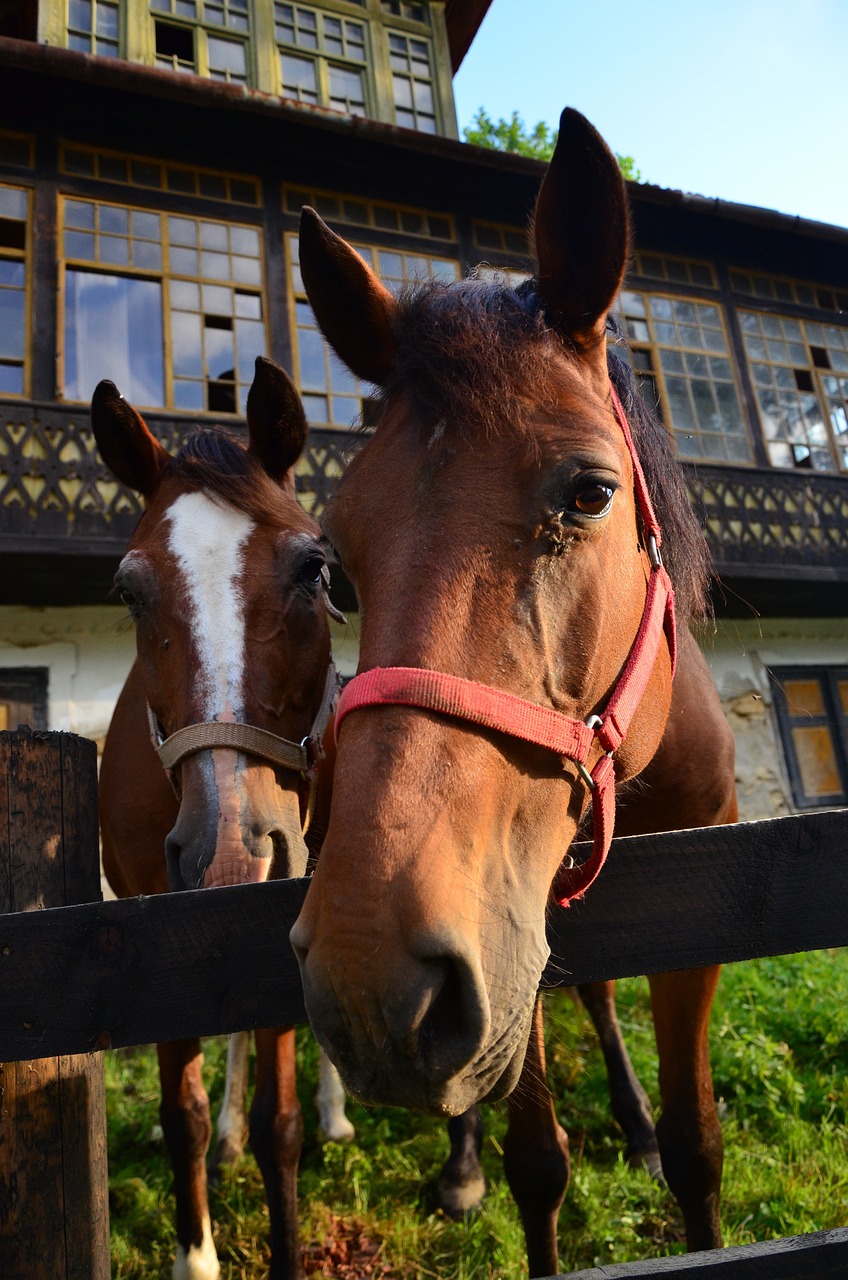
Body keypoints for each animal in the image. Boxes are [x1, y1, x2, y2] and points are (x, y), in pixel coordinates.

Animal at [94, 358, 343, 1280]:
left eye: (314, 569)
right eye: (129, 591)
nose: (230, 854)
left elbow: (284, 1128)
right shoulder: (151, 937)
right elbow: (184, 1115)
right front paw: (195, 1254)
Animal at [290, 112, 737, 1280]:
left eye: (588, 491)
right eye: (338, 566)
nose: (369, 973)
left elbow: (698, 1144)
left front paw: (662, 1143)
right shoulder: (498, 931)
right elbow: (537, 1162)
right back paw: (460, 1165)